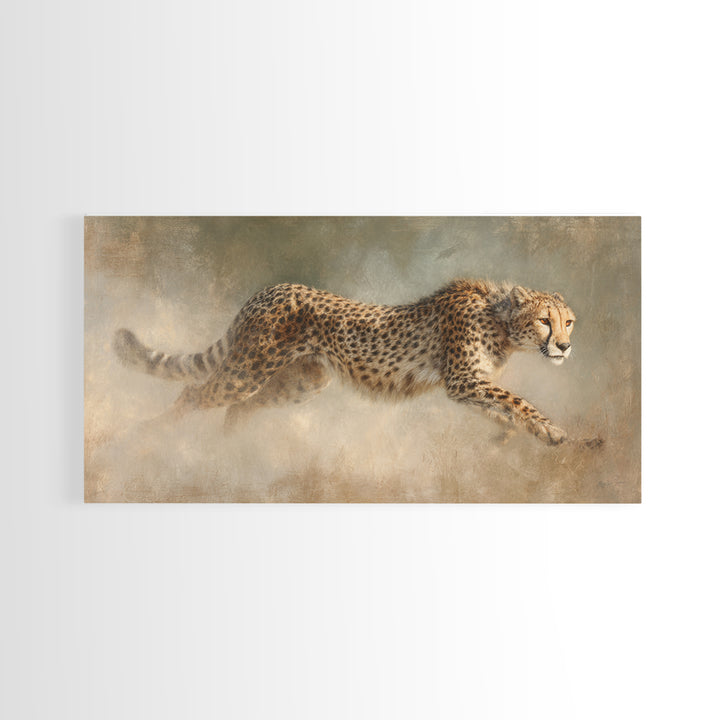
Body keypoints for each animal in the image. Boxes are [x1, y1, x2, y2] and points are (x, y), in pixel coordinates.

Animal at [113, 279, 599, 446]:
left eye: (569, 322)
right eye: (545, 321)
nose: (564, 346)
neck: (501, 321)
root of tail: (271, 288)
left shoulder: (471, 386)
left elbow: (503, 407)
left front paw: (519, 435)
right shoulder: (463, 380)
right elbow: (516, 400)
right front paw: (553, 430)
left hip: (303, 381)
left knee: (240, 408)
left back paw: (227, 451)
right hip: (249, 368)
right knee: (194, 393)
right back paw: (145, 439)